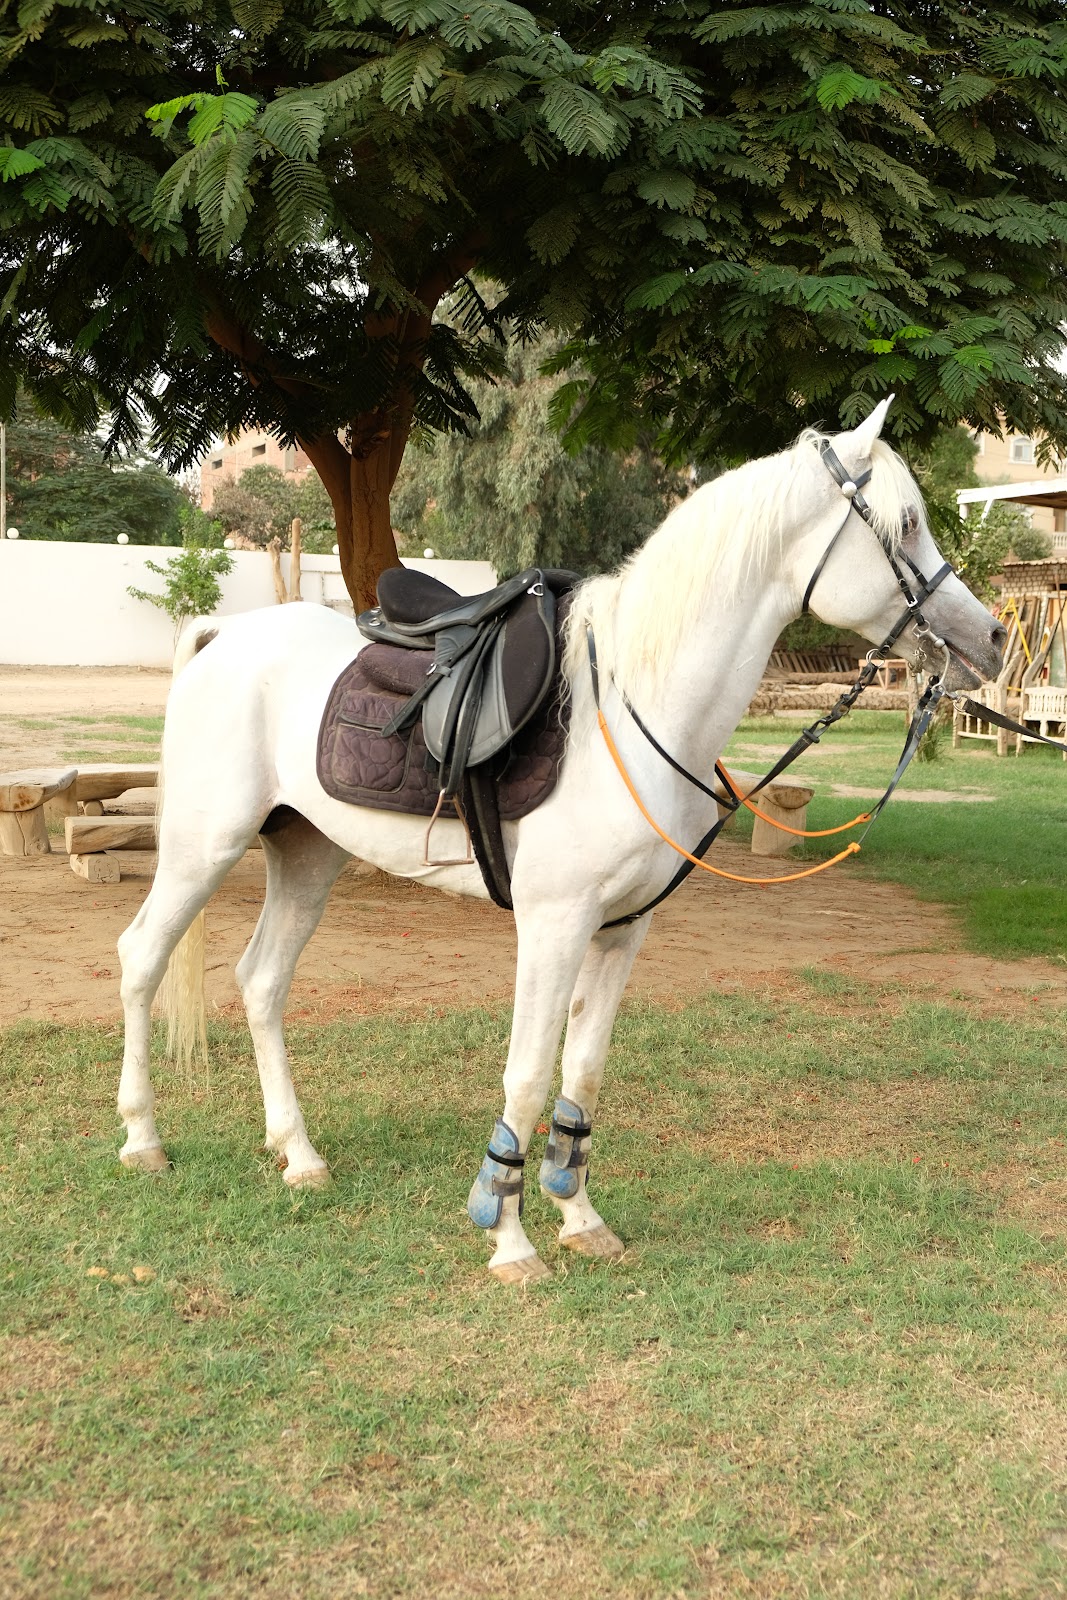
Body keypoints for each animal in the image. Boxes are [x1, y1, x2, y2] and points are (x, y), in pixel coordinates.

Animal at [115, 398, 1005, 1284]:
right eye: (906, 523)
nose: (992, 638)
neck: (636, 703)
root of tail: (225, 639)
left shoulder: (620, 929)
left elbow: (582, 1068)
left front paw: (578, 1215)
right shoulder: (553, 924)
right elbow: (528, 1070)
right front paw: (507, 1236)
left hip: (305, 852)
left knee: (262, 982)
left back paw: (298, 1154)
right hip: (203, 847)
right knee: (142, 958)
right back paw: (143, 1140)